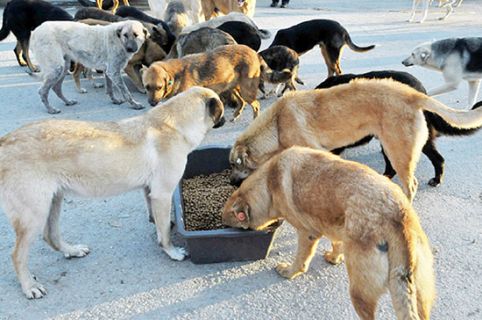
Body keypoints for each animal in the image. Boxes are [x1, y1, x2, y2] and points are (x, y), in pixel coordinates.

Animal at [0, 86, 226, 298]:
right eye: (222, 110)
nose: (226, 119)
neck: (175, 124)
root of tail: (4, 142)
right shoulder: (162, 194)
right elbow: (165, 235)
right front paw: (171, 251)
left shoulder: (150, 192)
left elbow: (157, 220)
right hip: (34, 215)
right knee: (17, 256)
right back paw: (29, 286)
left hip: (53, 201)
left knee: (51, 236)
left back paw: (72, 251)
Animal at [222, 146, 436, 320]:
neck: (268, 184)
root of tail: (400, 216)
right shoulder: (336, 227)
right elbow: (337, 244)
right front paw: (334, 258)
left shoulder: (307, 234)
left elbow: (300, 261)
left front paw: (289, 272)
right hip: (420, 297)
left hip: (360, 293)